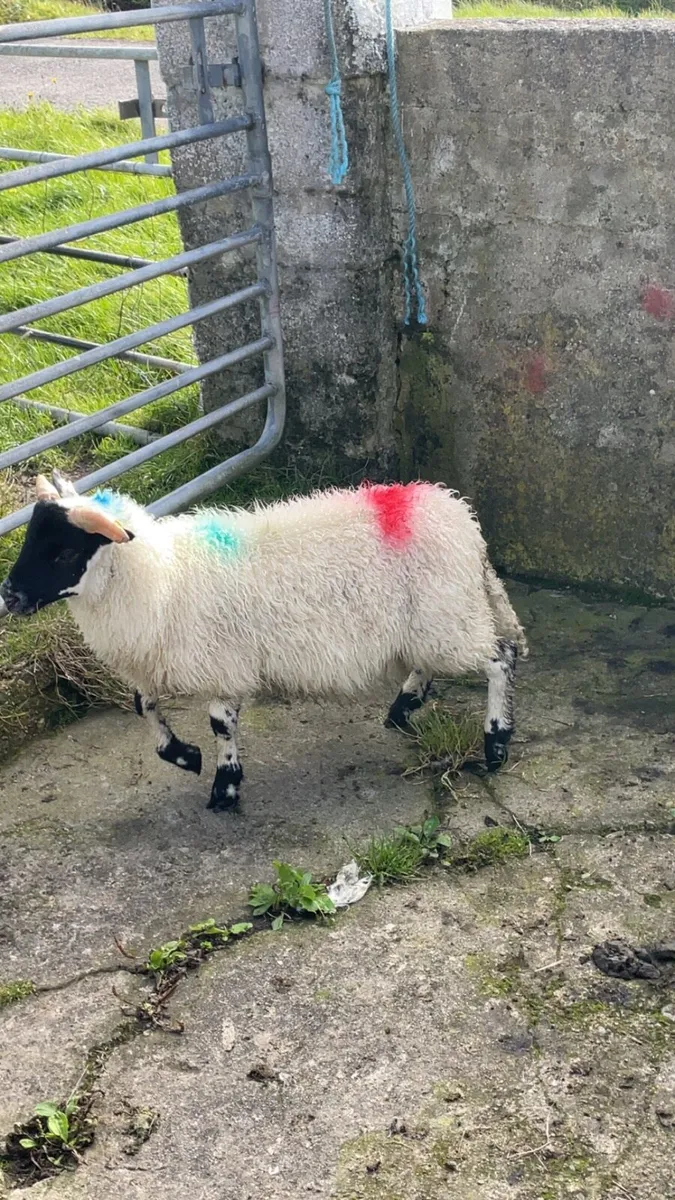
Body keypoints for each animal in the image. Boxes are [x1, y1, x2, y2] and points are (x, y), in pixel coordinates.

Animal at [0, 470, 528, 811]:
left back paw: (495, 741)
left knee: (499, 659)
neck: (162, 576)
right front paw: (184, 756)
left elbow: (219, 724)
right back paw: (403, 708)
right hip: (432, 618)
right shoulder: (165, 663)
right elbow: (142, 706)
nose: (10, 596)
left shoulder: (224, 663)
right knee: (429, 662)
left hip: (447, 616)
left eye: (65, 553)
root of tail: (458, 514)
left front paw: (225, 787)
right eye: (29, 540)